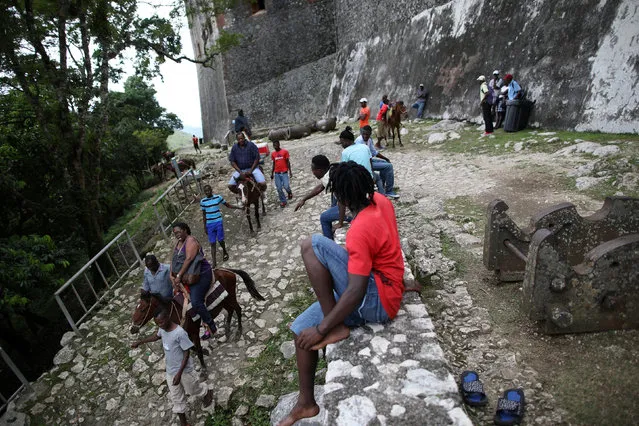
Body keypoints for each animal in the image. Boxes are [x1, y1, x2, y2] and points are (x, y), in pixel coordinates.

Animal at [130, 268, 264, 372]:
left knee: (238, 309)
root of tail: (227, 270)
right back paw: (227, 330)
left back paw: (238, 332)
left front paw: (203, 368)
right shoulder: (185, 333)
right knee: (231, 310)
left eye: (142, 309)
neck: (177, 312)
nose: (132, 329)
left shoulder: (194, 332)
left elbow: (197, 349)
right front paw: (205, 352)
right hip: (223, 300)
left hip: (230, 296)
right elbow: (191, 347)